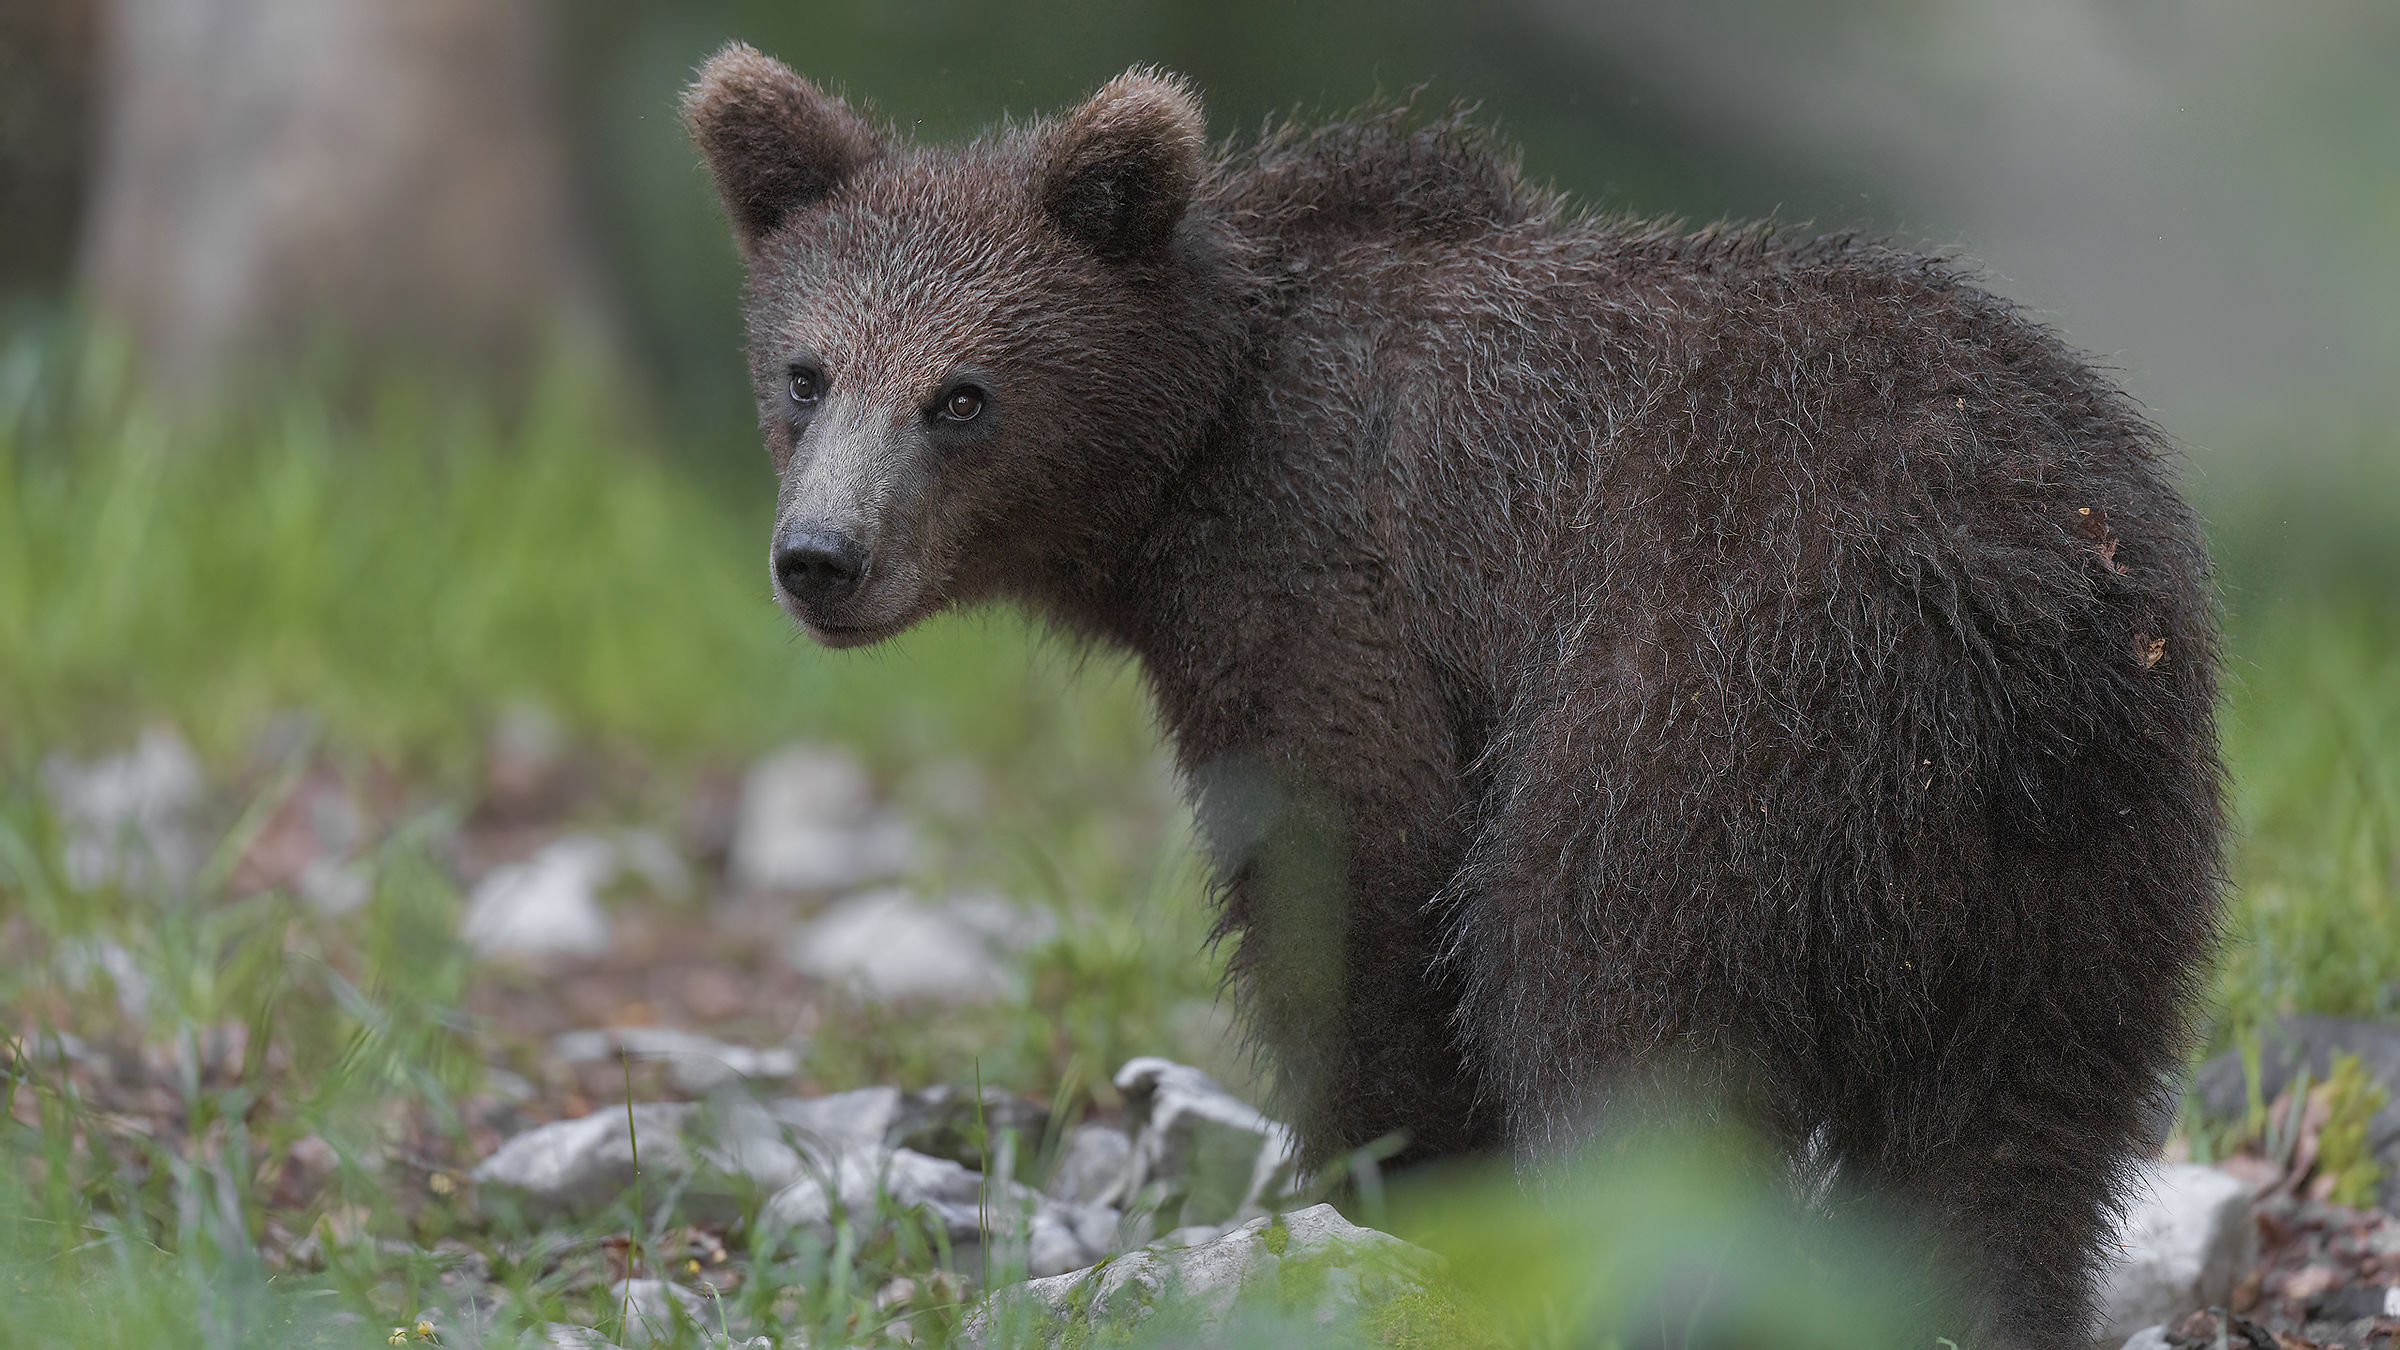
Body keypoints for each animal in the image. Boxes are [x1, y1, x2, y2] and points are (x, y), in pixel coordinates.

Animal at [683, 46, 2224, 1348]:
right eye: (806, 373)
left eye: (962, 394)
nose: (822, 558)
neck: (1195, 451)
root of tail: (2013, 578)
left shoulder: (1329, 584)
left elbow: (1356, 872)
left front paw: (1394, 1174)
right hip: (2084, 854)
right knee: (2020, 1133)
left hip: (1714, 705)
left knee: (1604, 986)